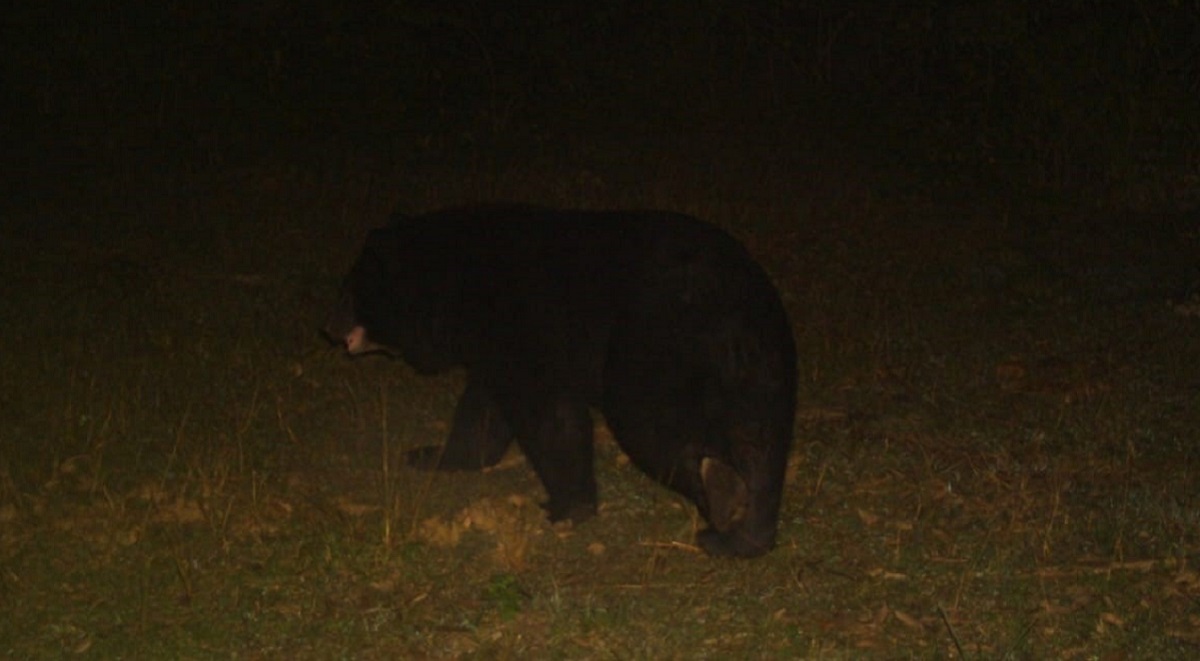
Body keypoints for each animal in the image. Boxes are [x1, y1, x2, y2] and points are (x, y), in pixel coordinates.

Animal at [324, 206, 797, 557]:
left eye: (347, 292)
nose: (325, 327)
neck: (459, 285)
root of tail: (730, 298)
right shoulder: (492, 345)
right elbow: (483, 411)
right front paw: (430, 454)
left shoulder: (524, 320)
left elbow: (547, 411)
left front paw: (568, 505)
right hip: (765, 363)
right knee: (761, 441)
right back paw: (744, 534)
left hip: (651, 342)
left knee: (650, 424)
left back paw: (724, 496)